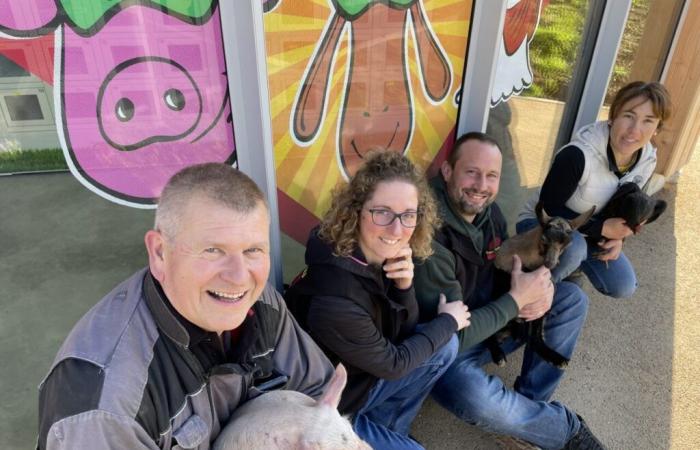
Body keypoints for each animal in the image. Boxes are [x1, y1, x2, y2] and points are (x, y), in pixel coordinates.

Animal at [486, 204, 596, 370]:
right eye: (544, 239)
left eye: (567, 244)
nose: (550, 263)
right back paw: (499, 354)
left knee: (533, 339)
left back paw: (556, 358)